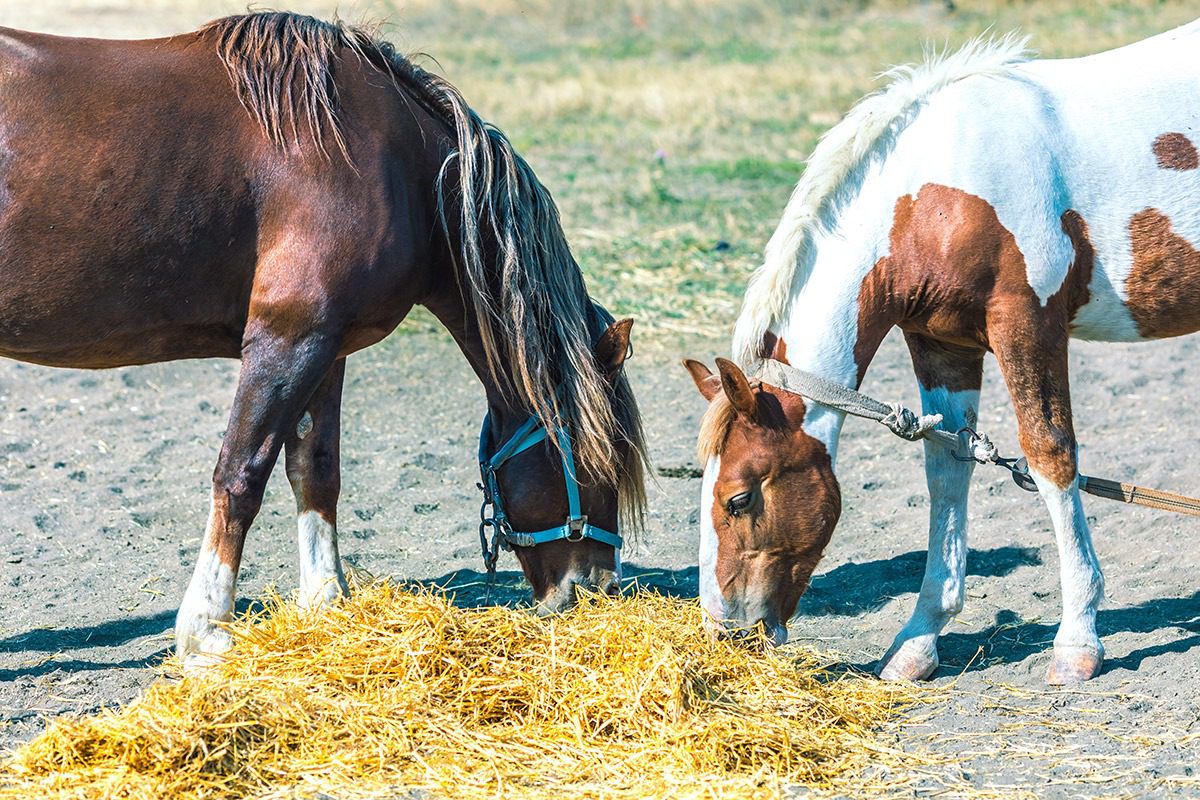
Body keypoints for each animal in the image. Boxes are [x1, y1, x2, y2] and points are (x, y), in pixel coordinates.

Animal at [0, 12, 647, 667]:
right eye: (599, 460)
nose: (595, 587)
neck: (391, 164)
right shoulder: (287, 338)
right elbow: (240, 475)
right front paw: (206, 631)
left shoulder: (326, 347)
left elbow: (316, 470)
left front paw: (326, 603)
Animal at [684, 21, 1200, 684]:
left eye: (739, 498)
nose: (725, 631)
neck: (935, 199)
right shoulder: (942, 343)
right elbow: (947, 470)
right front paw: (919, 639)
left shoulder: (1028, 324)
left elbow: (1051, 457)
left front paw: (1077, 640)